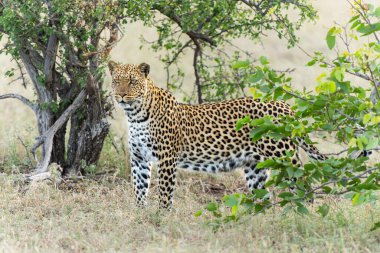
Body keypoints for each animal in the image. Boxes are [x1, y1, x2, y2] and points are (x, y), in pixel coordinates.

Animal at [109, 60, 326, 209]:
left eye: (132, 82)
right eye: (116, 81)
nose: (121, 95)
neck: (136, 115)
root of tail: (284, 106)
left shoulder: (166, 158)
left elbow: (164, 193)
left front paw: (161, 218)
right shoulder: (139, 159)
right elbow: (139, 189)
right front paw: (140, 215)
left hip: (284, 157)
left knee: (304, 186)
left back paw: (303, 216)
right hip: (255, 167)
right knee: (263, 196)